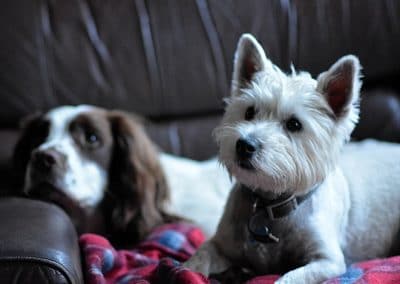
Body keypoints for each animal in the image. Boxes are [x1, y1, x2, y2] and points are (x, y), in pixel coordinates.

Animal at [184, 33, 400, 284]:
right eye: (249, 112)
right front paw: (186, 270)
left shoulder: (328, 261)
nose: (244, 145)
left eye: (294, 124)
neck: (269, 203)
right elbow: (200, 256)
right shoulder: (222, 244)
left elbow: (289, 277)